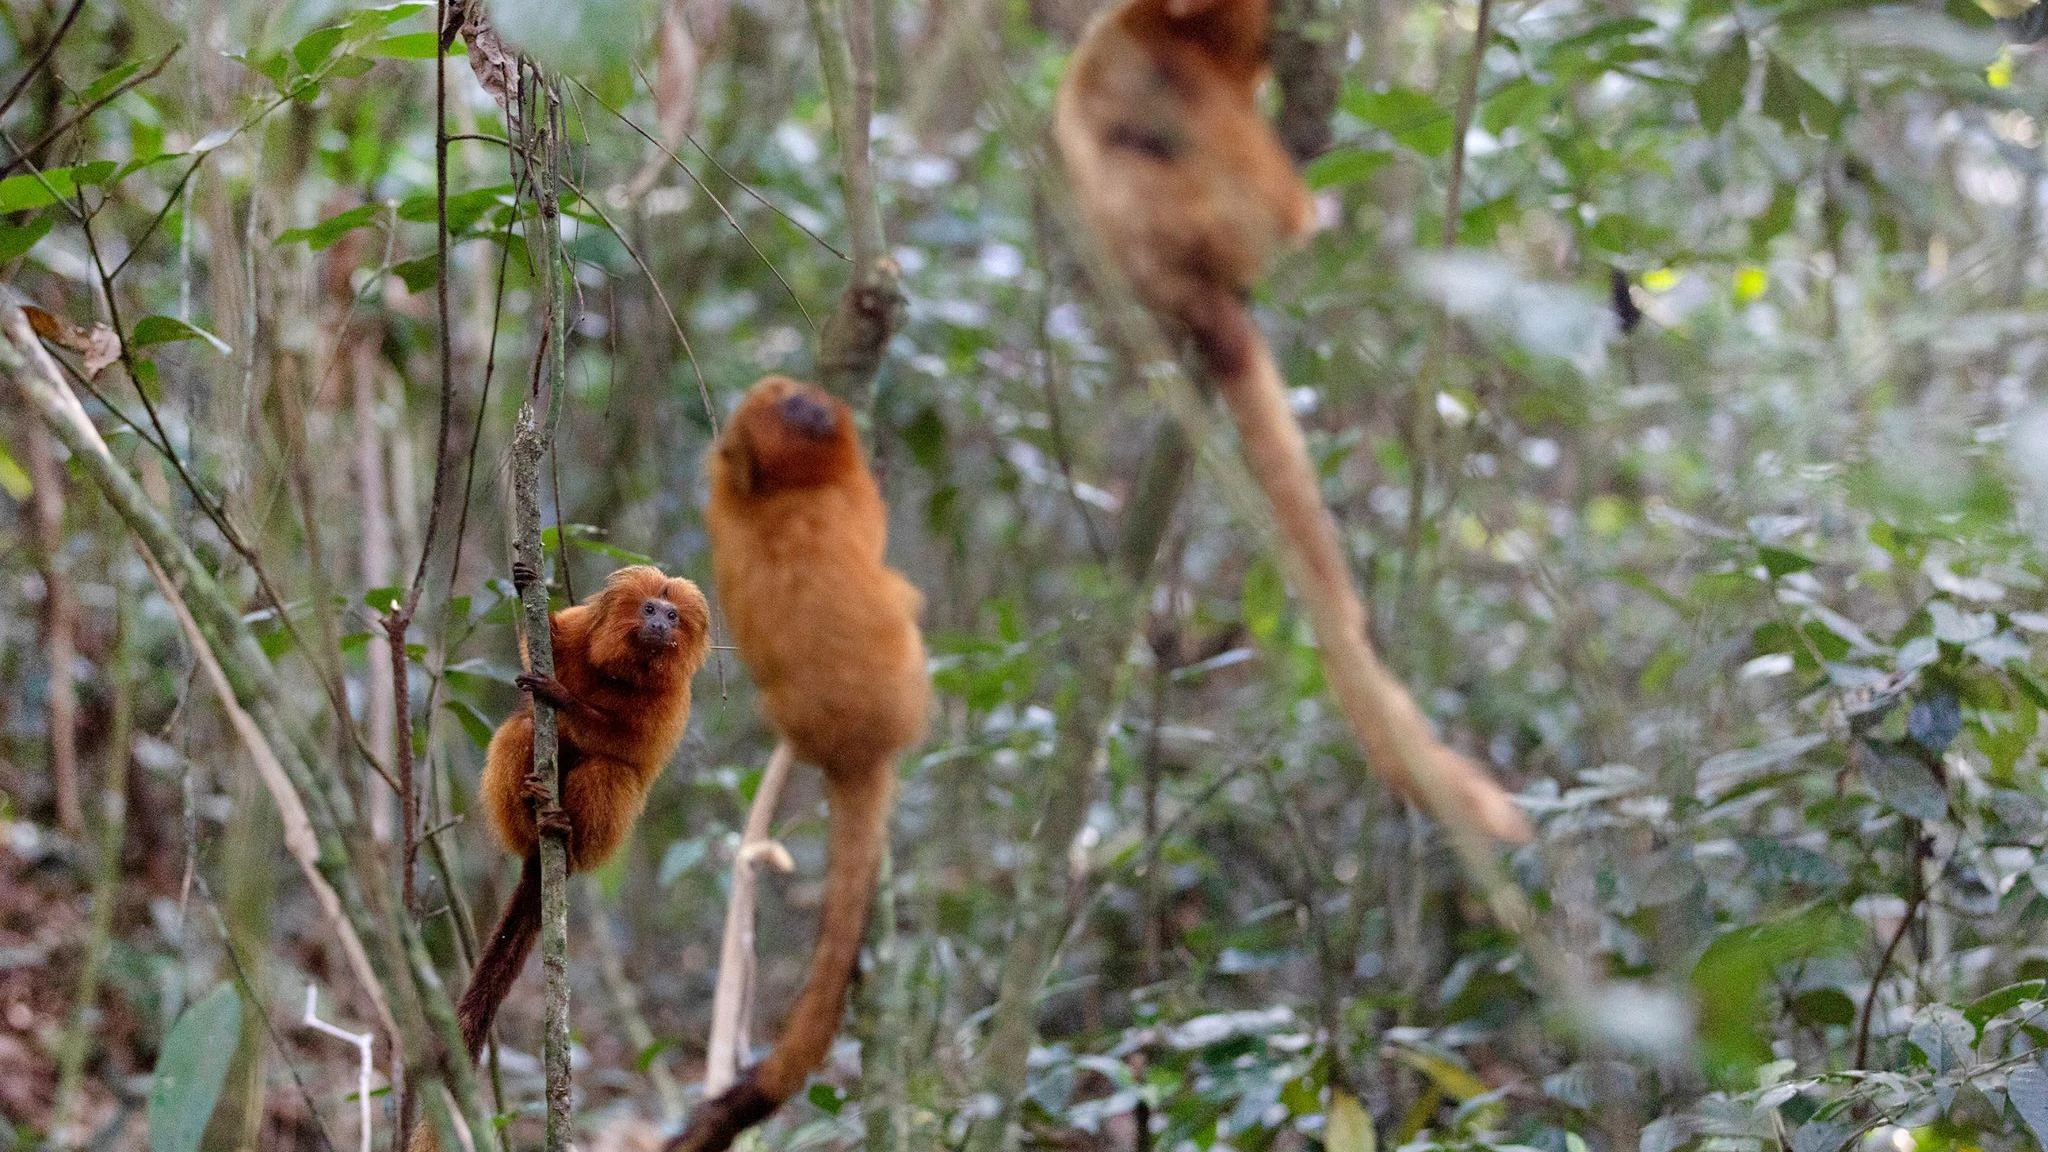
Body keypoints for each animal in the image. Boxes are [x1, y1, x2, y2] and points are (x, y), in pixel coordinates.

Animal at [409, 563, 709, 1152]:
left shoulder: (672, 701)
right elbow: (541, 643)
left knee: (609, 770)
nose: (660, 625)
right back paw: (533, 809)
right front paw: (526, 582)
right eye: (649, 610)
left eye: (673, 616)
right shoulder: (578, 634)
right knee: (521, 729)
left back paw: (564, 836)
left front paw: (565, 700)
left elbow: (630, 748)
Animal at [663, 376, 931, 1152]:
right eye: (787, 402)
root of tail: (853, 749)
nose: (808, 402)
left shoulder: (724, 497)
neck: (781, 491)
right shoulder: (853, 495)